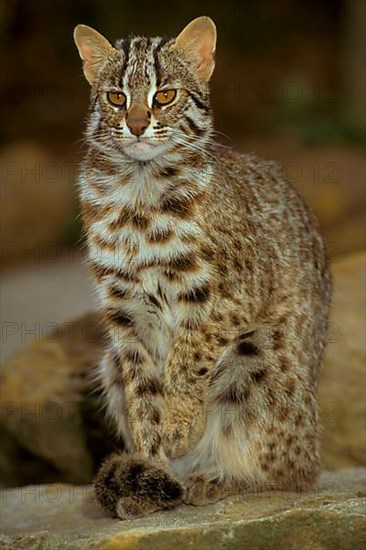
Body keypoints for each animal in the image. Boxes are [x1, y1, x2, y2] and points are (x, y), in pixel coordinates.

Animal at [73, 15, 332, 520]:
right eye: (116, 98)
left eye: (165, 96)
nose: (137, 125)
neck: (137, 192)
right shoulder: (124, 313)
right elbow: (143, 394)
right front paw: (151, 465)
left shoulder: (231, 297)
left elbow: (185, 359)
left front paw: (181, 428)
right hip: (108, 359)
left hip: (259, 348)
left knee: (295, 473)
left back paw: (218, 478)